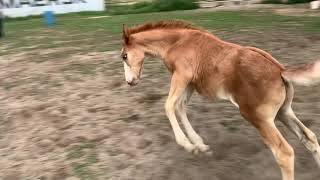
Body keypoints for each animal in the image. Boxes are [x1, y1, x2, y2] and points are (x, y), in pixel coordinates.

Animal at [120, 19, 320, 180]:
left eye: (124, 55)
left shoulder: (182, 75)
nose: (130, 82)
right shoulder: (190, 83)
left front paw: (189, 146)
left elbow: (169, 106)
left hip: (258, 117)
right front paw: (200, 145)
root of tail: (280, 70)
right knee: (310, 137)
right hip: (283, 112)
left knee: (284, 153)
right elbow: (180, 107)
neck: (177, 42)